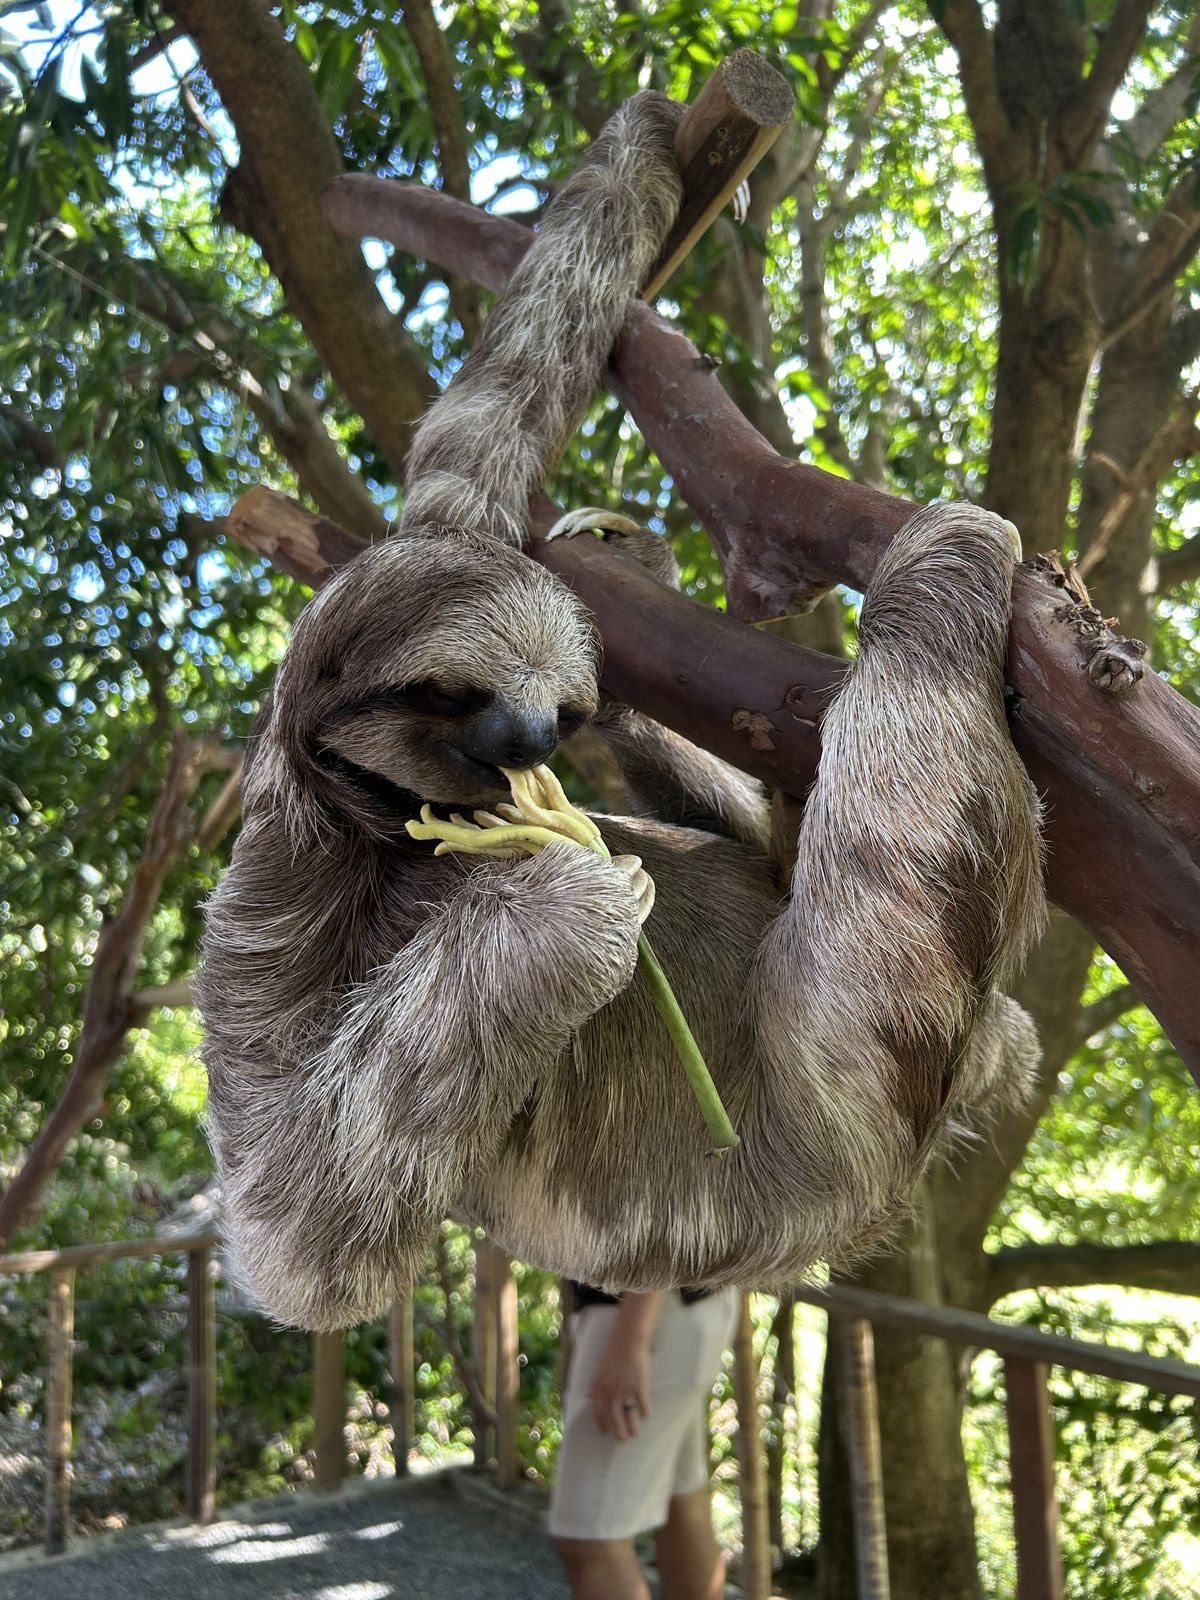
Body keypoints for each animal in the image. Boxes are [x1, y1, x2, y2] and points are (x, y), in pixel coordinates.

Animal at [197, 92, 1045, 1333]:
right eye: (449, 695)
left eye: (561, 701)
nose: (537, 740)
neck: (383, 825)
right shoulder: (275, 885)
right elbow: (290, 1230)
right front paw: (556, 908)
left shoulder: (448, 523)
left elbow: (487, 411)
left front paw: (637, 149)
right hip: (852, 1085)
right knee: (903, 805)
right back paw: (942, 564)